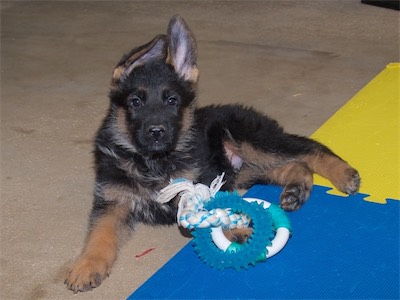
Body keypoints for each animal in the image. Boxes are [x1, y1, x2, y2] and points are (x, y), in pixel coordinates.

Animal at [65, 15, 360, 292]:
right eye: (135, 102)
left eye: (172, 101)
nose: (156, 132)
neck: (152, 162)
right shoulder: (112, 201)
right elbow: (99, 235)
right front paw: (86, 265)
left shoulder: (201, 185)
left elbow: (218, 209)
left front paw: (238, 228)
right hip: (244, 169)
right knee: (294, 166)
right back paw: (296, 190)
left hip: (252, 141)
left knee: (310, 149)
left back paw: (343, 174)